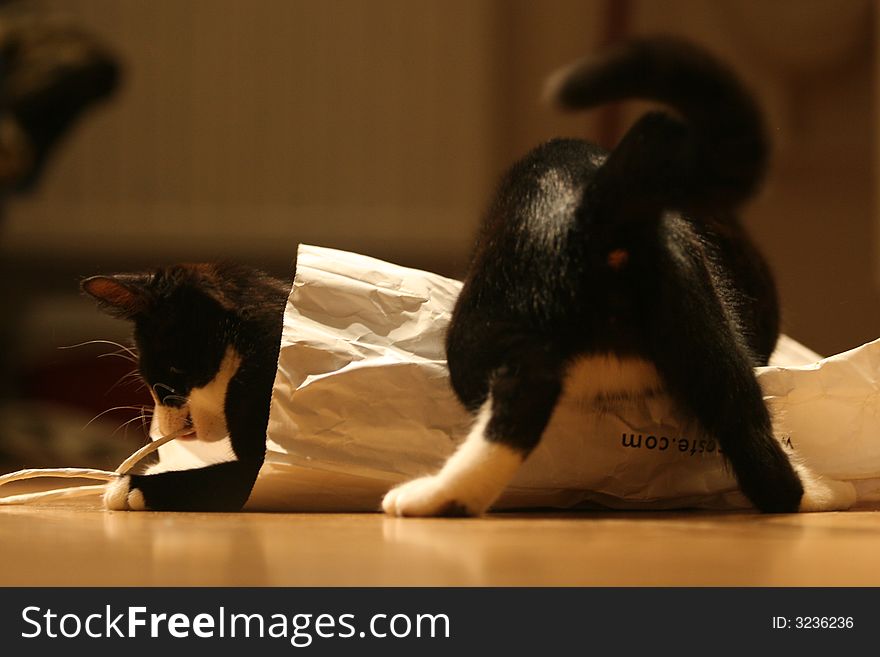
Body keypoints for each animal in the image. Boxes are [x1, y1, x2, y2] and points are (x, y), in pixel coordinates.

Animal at [384, 36, 852, 516]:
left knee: (518, 405)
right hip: (707, 333)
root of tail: (596, 207)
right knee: (752, 441)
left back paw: (426, 498)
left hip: (488, 330)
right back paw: (827, 492)